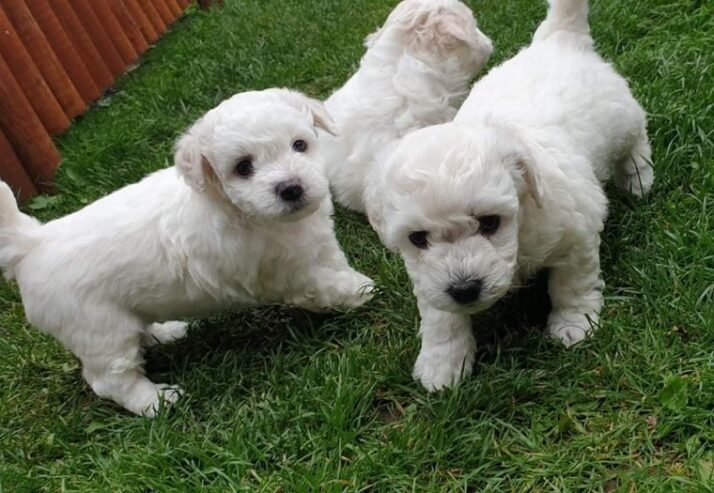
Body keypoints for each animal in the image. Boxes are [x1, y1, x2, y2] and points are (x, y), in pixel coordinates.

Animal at [0, 88, 376, 416]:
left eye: (300, 145)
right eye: (243, 167)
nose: (291, 188)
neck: (235, 208)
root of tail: (32, 242)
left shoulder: (316, 244)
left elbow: (333, 261)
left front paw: (356, 283)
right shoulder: (288, 272)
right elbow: (324, 286)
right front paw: (361, 293)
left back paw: (164, 332)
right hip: (99, 329)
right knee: (110, 379)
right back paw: (156, 402)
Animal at [368, 0, 652, 390]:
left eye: (490, 222)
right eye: (418, 238)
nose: (464, 289)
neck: (522, 227)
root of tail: (558, 38)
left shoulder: (576, 236)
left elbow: (572, 284)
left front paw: (574, 323)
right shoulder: (428, 278)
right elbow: (441, 315)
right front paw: (442, 362)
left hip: (622, 118)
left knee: (637, 139)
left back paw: (639, 179)